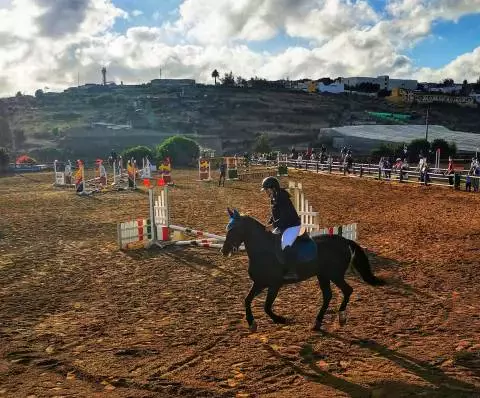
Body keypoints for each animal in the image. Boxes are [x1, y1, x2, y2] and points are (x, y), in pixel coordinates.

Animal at [222, 210, 386, 332]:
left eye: (234, 229)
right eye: (227, 228)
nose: (224, 251)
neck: (263, 251)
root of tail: (345, 241)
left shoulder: (274, 285)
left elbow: (267, 306)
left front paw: (280, 319)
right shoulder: (260, 283)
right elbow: (247, 300)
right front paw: (251, 323)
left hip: (335, 275)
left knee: (347, 290)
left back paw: (341, 317)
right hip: (323, 275)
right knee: (328, 296)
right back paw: (318, 322)